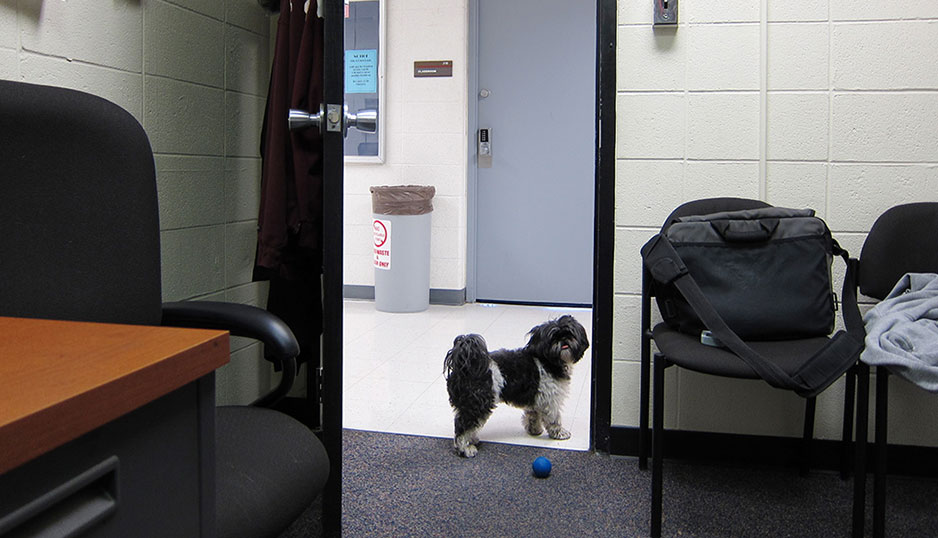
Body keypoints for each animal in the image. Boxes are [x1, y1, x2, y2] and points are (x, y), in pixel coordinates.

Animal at [444, 314, 588, 456]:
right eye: (554, 337)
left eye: (569, 333)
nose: (564, 340)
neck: (547, 360)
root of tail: (465, 367)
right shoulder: (550, 400)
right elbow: (554, 419)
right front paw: (559, 433)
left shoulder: (536, 399)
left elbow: (533, 415)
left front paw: (534, 430)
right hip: (478, 403)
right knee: (463, 426)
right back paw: (465, 448)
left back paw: (472, 439)